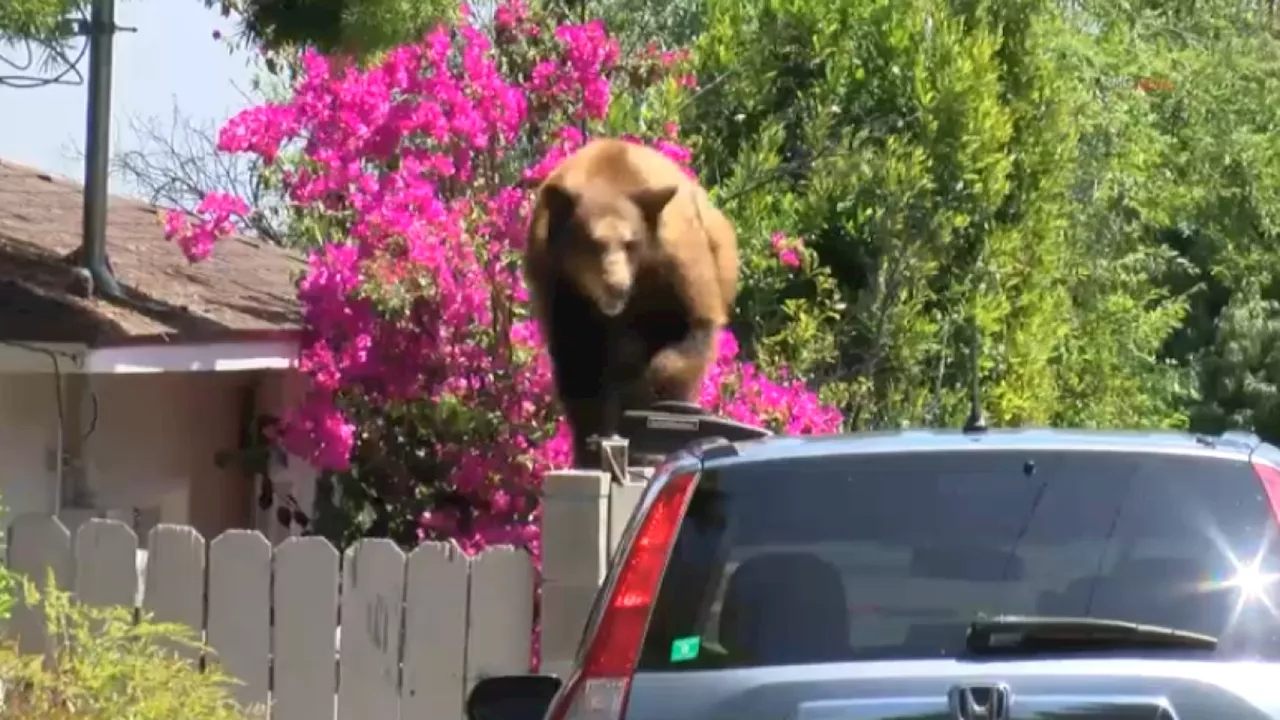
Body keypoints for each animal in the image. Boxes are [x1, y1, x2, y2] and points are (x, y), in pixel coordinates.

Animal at [522, 137, 742, 468]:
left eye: (630, 243)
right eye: (593, 244)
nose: (617, 286)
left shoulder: (675, 266)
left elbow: (691, 329)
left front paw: (648, 398)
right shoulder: (560, 288)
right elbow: (578, 366)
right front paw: (590, 442)